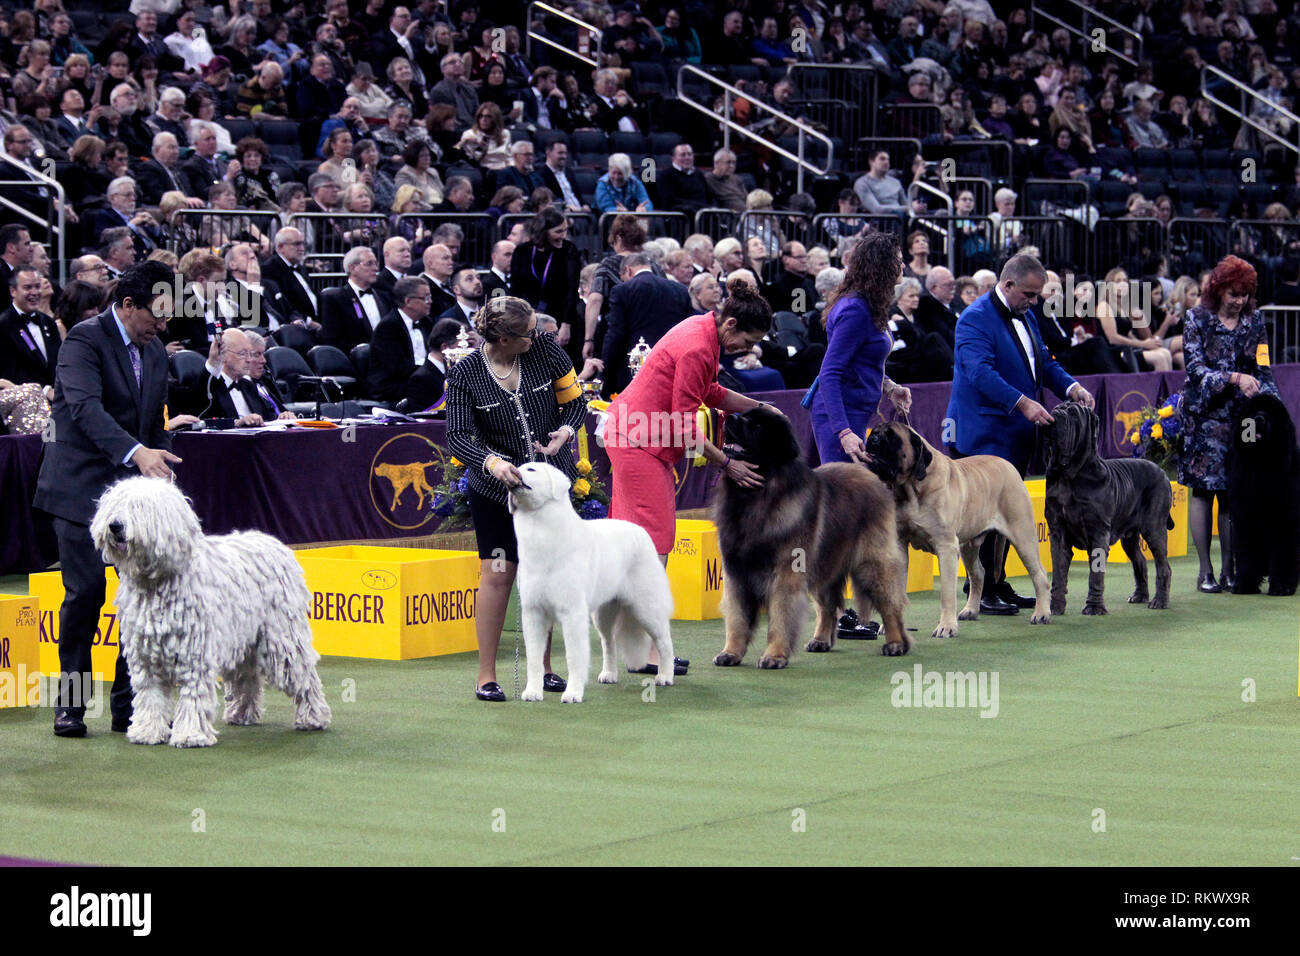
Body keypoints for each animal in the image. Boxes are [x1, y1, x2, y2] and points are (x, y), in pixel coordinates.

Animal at [91, 478, 332, 749]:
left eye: (139, 507)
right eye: (115, 505)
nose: (115, 525)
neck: (156, 582)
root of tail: (276, 544)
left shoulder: (194, 653)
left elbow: (192, 694)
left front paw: (189, 735)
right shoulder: (146, 656)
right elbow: (150, 695)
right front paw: (147, 732)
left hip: (282, 637)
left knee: (303, 677)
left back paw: (313, 718)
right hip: (244, 639)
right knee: (246, 677)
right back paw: (241, 714)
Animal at [504, 463, 676, 702]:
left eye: (530, 469)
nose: (510, 474)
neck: (541, 531)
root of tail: (641, 531)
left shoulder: (572, 614)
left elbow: (574, 657)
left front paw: (573, 694)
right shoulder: (533, 613)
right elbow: (534, 660)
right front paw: (532, 693)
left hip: (646, 609)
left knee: (665, 642)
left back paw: (665, 676)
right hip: (603, 615)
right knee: (609, 642)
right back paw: (609, 674)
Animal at [707, 403, 909, 665]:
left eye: (757, 426)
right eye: (744, 416)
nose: (729, 417)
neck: (758, 496)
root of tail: (871, 475)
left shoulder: (785, 572)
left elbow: (781, 615)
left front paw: (774, 656)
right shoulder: (736, 573)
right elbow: (737, 618)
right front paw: (730, 652)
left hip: (871, 563)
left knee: (890, 603)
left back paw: (896, 644)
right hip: (824, 561)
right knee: (827, 606)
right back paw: (821, 640)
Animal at [1040, 403, 1175, 613]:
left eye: (1073, 413)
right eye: (1056, 408)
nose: (1054, 415)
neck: (1069, 475)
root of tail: (1162, 471)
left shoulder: (1098, 531)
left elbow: (1096, 575)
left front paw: (1094, 607)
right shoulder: (1058, 532)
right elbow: (1059, 573)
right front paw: (1054, 607)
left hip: (1154, 529)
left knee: (1163, 566)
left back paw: (1159, 601)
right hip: (1130, 536)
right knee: (1140, 561)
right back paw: (1139, 596)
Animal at [1227, 392, 1300, 595]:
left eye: (1270, 414)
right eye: (1252, 410)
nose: (1258, 419)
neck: (1261, 464)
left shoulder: (1284, 521)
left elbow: (1283, 554)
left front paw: (1282, 586)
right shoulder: (1245, 519)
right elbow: (1247, 554)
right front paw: (1244, 584)